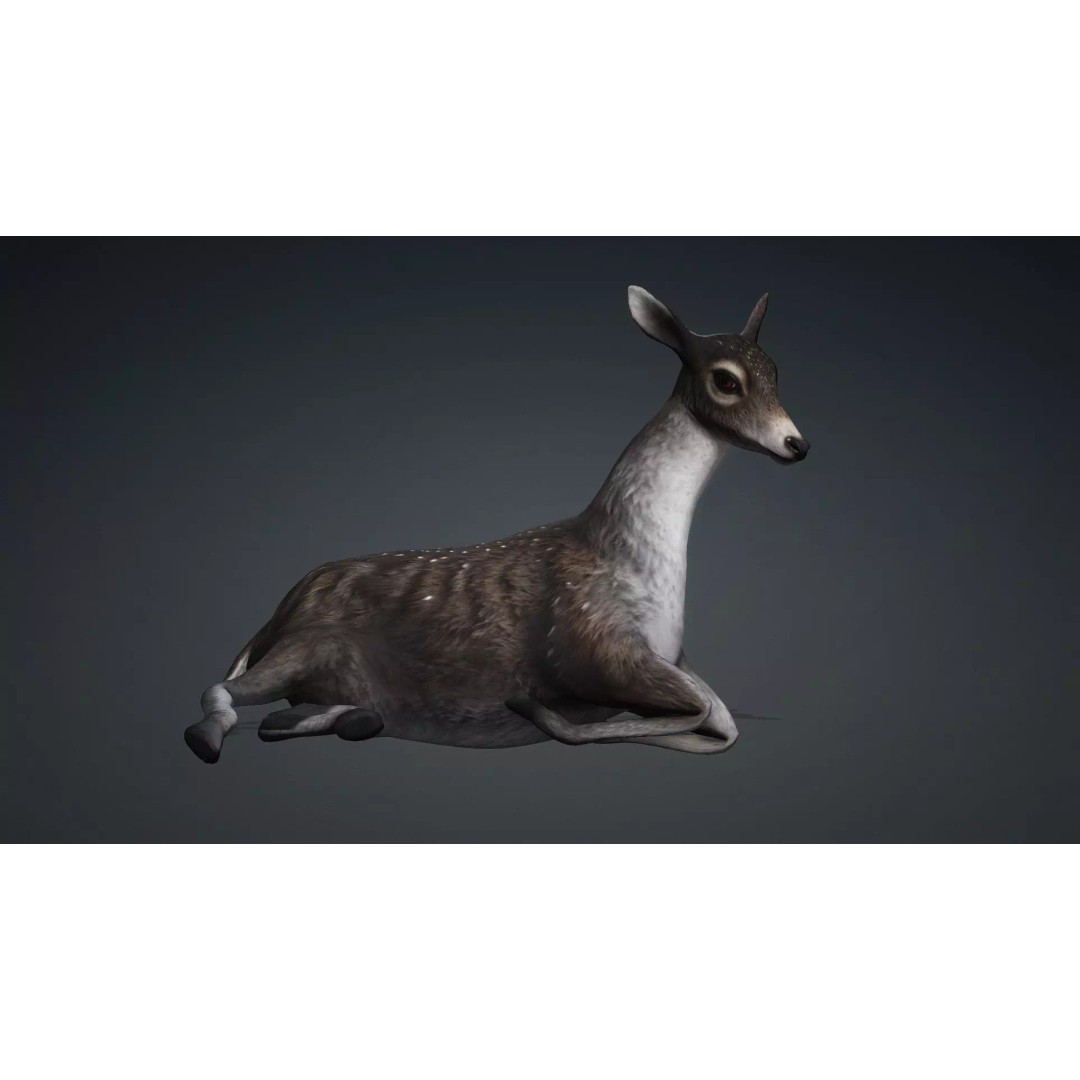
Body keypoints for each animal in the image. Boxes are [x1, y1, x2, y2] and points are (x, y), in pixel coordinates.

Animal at [184, 286, 810, 764]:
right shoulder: (596, 649)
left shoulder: (668, 661)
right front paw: (533, 709)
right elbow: (705, 715)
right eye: (725, 380)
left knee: (281, 714)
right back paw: (210, 738)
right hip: (307, 647)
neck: (633, 564)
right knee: (219, 690)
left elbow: (723, 720)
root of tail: (279, 612)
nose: (796, 445)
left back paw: (347, 718)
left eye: (777, 371)